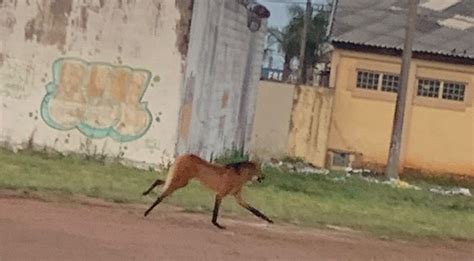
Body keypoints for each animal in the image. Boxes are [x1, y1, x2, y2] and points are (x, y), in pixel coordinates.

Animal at [143, 153, 272, 229]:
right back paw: (146, 212)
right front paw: (217, 225)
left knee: (159, 180)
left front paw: (269, 220)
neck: (239, 176)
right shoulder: (220, 194)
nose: (264, 177)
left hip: (180, 180)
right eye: (259, 170)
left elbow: (255, 210)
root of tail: (184, 155)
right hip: (181, 182)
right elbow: (215, 212)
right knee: (161, 195)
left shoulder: (238, 197)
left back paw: (145, 193)